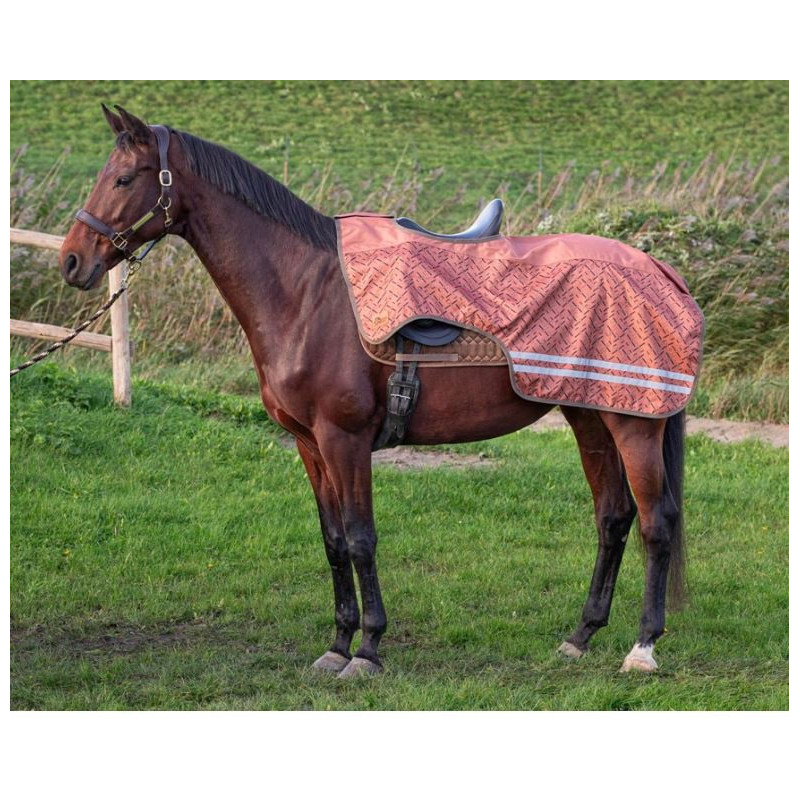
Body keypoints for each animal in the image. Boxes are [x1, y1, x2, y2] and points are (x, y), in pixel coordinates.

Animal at [59, 105, 687, 677]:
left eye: (124, 178)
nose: (72, 261)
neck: (306, 294)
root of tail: (661, 271)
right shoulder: (310, 445)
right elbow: (334, 541)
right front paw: (337, 645)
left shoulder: (346, 440)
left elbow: (361, 540)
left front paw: (367, 651)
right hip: (590, 417)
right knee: (612, 518)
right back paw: (581, 635)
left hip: (635, 424)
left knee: (656, 522)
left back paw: (643, 647)